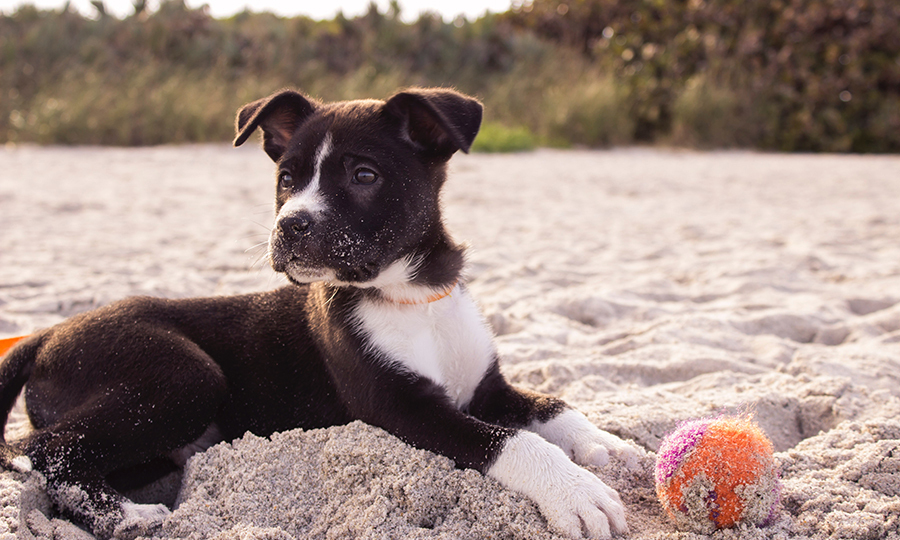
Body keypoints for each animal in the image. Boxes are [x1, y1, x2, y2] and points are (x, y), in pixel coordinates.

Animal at [3, 89, 644, 540]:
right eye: (286, 180)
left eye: (364, 175)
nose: (290, 225)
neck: (410, 296)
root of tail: (47, 334)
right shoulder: (399, 407)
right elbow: (508, 441)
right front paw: (575, 491)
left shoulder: (486, 386)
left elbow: (553, 405)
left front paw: (609, 445)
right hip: (184, 376)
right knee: (41, 452)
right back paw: (126, 517)